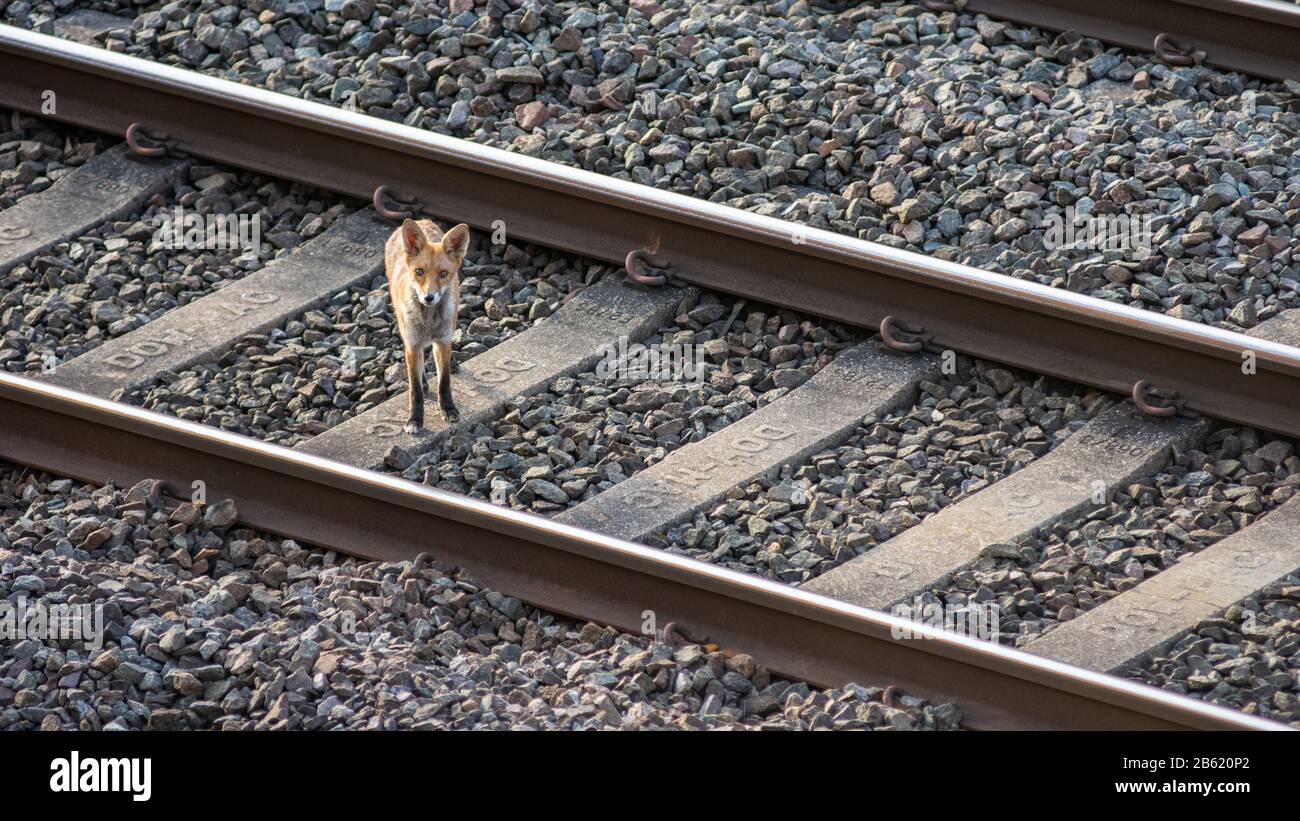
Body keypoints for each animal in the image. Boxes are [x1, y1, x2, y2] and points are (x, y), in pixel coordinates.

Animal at [382, 218, 470, 436]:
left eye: (443, 274)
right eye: (419, 272)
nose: (429, 297)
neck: (429, 323)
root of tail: (422, 220)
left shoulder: (443, 341)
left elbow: (444, 382)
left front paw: (448, 409)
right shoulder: (413, 345)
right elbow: (415, 391)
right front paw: (414, 419)